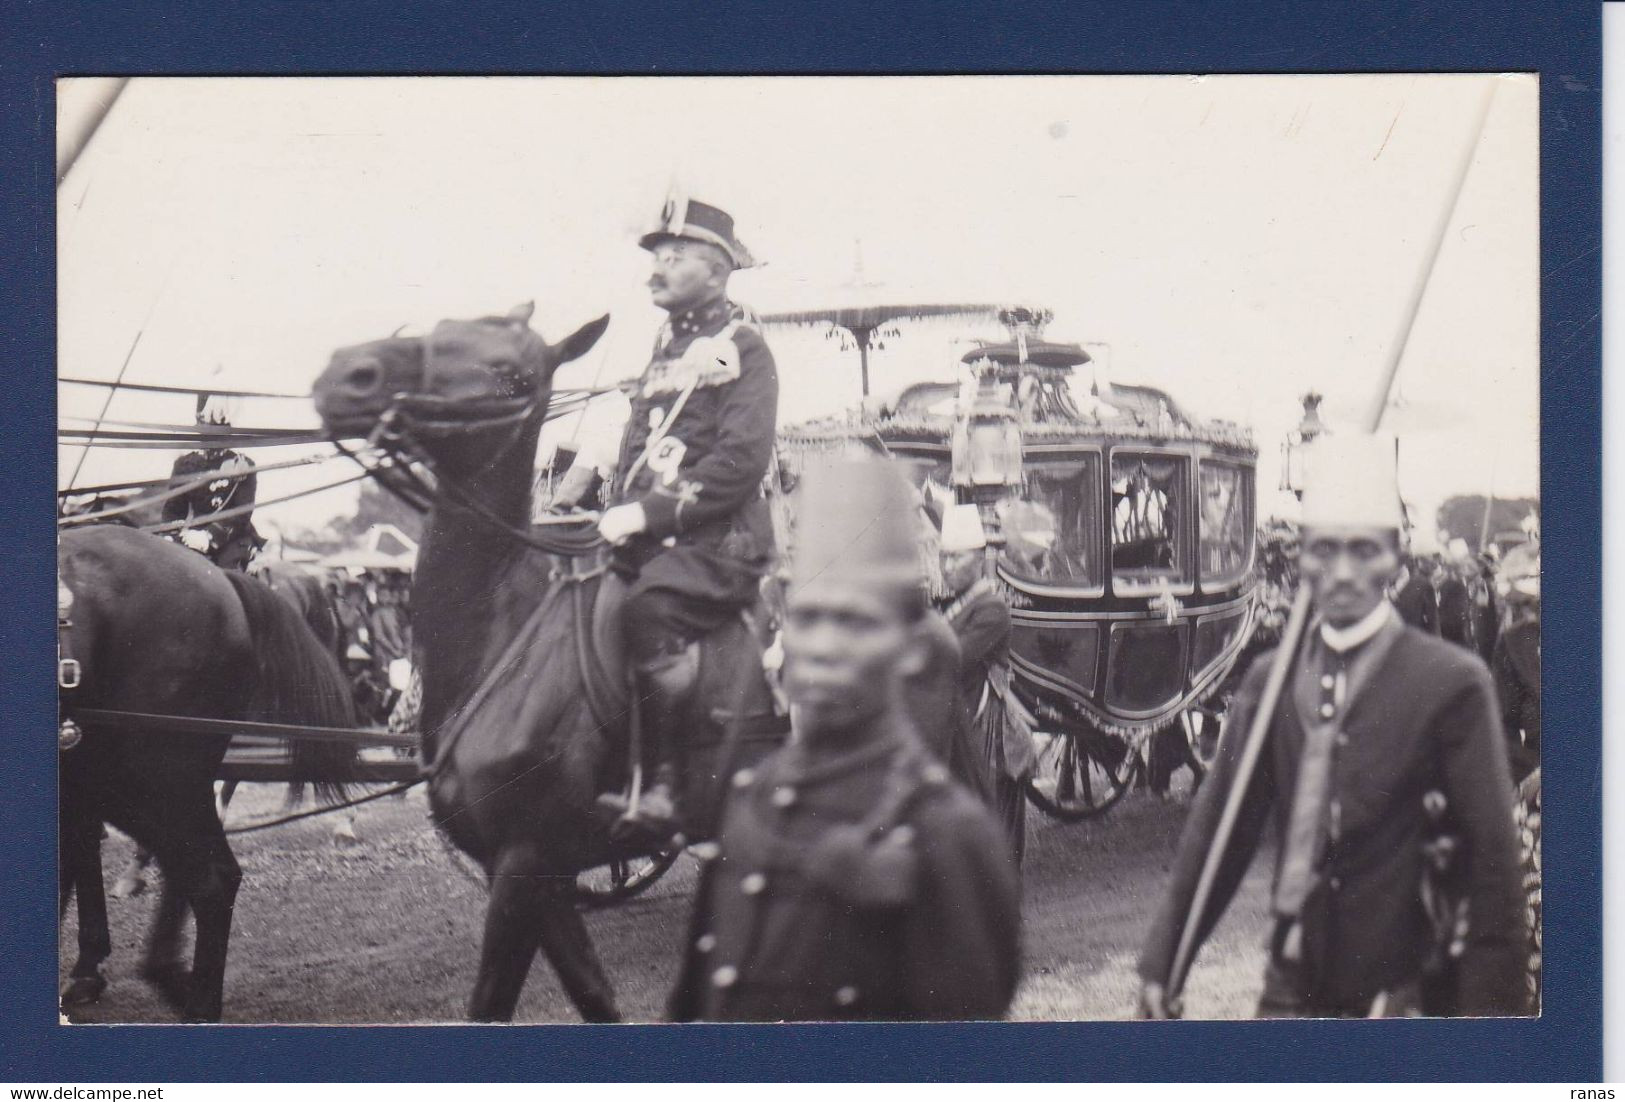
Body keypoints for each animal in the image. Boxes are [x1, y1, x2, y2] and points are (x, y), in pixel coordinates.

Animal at [312, 303, 786, 1027]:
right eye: (440, 330)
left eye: (514, 376)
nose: (349, 373)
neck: (503, 632)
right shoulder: (540, 875)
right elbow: (593, 995)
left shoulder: (522, 861)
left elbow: (490, 1002)